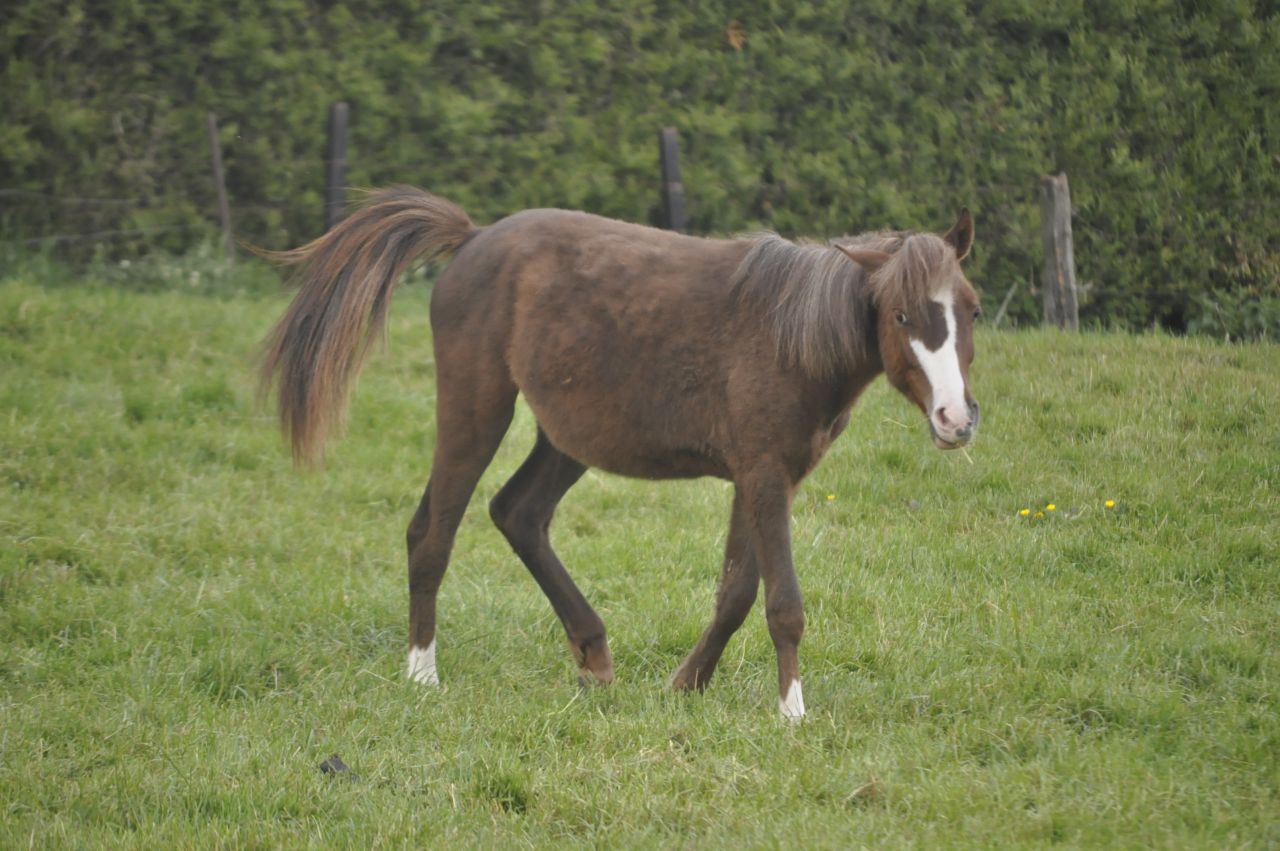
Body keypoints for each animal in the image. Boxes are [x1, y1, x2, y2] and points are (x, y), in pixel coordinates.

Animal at [260, 187, 980, 719]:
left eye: (969, 310)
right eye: (900, 316)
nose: (956, 418)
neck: (790, 336)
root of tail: (471, 237)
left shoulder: (763, 477)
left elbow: (737, 590)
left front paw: (688, 683)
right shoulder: (766, 475)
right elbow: (783, 602)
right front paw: (792, 712)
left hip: (568, 435)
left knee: (518, 513)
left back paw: (593, 652)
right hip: (476, 409)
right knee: (433, 530)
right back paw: (422, 673)